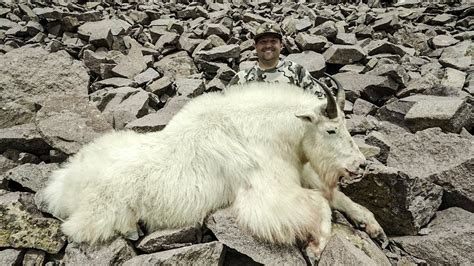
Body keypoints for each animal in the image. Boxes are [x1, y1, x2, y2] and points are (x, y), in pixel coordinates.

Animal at [41, 77, 386, 258]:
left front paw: (376, 230)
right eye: (331, 130)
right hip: (102, 209)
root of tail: (61, 186)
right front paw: (316, 246)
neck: (270, 131)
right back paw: (131, 228)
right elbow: (319, 204)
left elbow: (336, 198)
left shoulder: (301, 173)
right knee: (78, 229)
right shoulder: (266, 192)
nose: (360, 165)